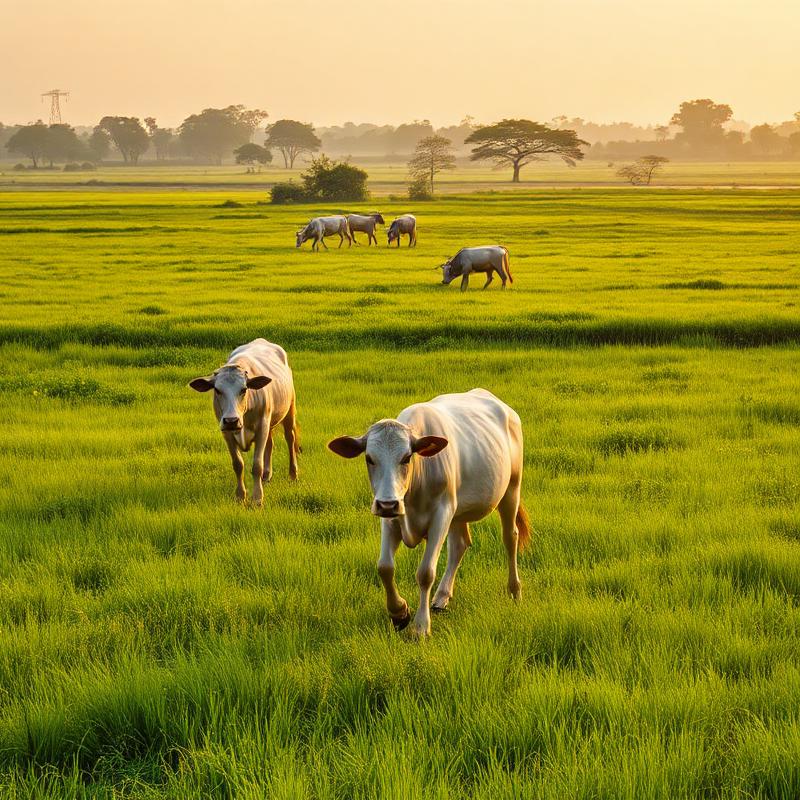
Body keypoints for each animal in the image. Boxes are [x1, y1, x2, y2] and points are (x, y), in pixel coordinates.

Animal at [189, 339, 300, 506]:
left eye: (244, 389)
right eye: (217, 390)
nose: (231, 420)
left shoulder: (261, 427)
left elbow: (256, 465)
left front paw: (257, 498)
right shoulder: (227, 432)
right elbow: (238, 464)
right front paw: (241, 495)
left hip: (289, 410)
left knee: (290, 439)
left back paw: (293, 474)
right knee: (270, 443)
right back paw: (267, 476)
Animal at [328, 388, 528, 638]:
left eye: (406, 457)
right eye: (369, 458)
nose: (387, 504)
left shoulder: (441, 514)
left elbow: (425, 572)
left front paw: (421, 626)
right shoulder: (393, 517)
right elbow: (384, 567)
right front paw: (399, 613)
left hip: (511, 487)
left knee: (510, 537)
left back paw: (514, 590)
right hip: (458, 509)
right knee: (460, 544)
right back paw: (442, 597)